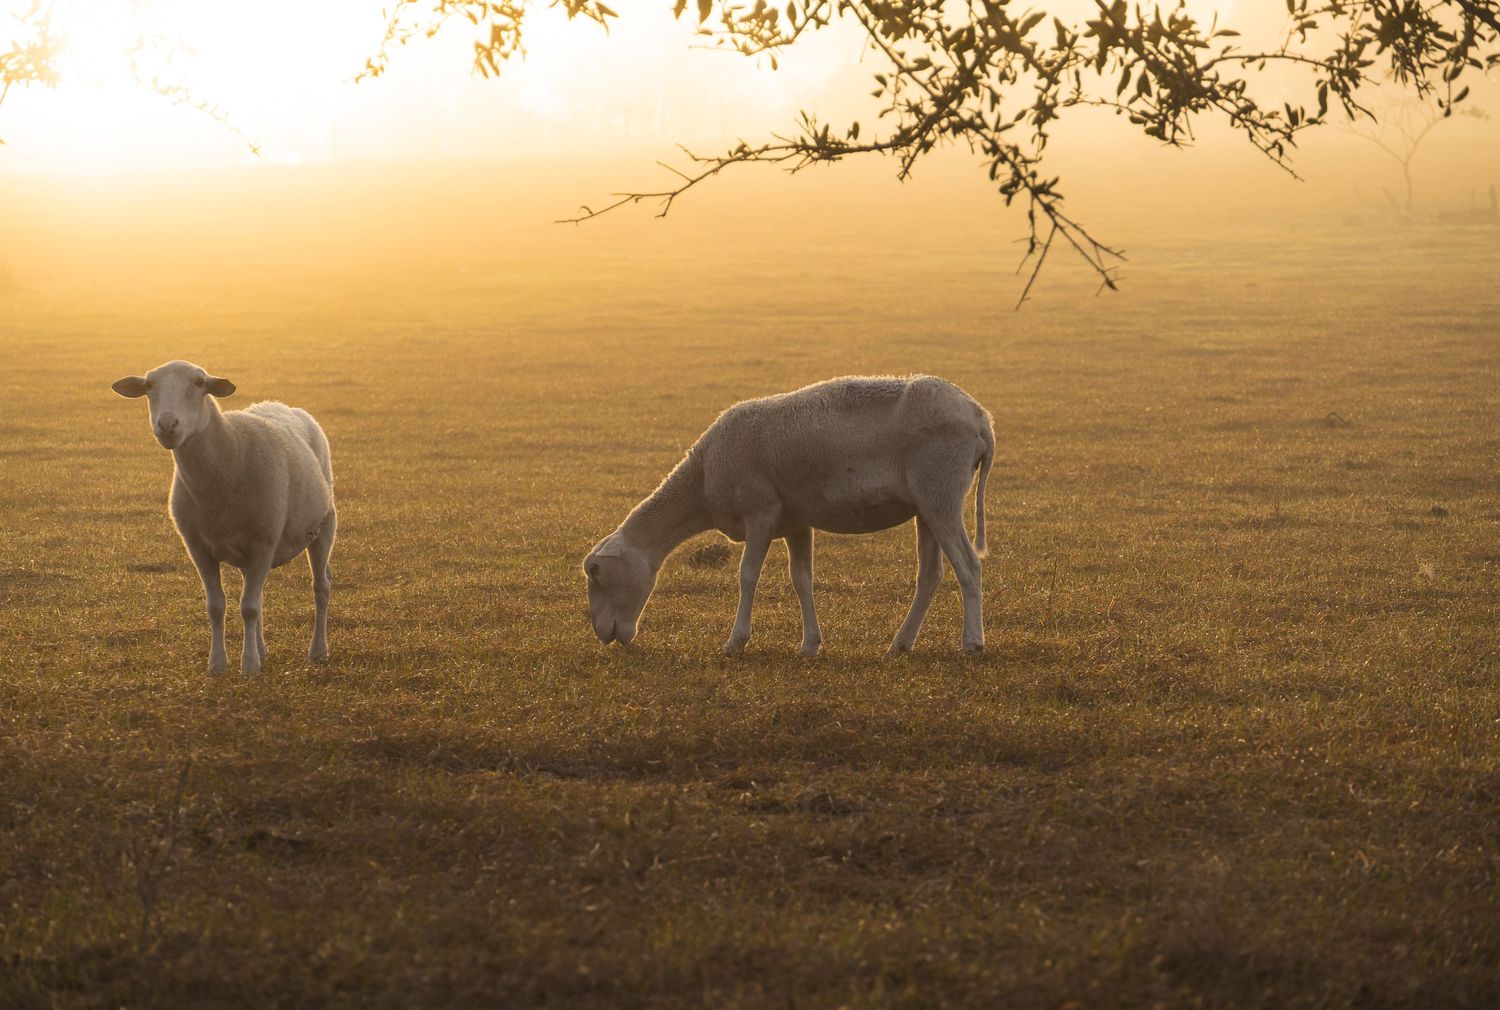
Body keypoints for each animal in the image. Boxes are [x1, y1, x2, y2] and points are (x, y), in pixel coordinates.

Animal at [111, 360, 337, 674]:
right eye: (148, 386)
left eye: (199, 383)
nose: (167, 425)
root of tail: (280, 404)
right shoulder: (197, 546)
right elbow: (217, 606)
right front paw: (218, 664)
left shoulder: (264, 540)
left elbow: (249, 608)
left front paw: (249, 666)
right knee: (259, 593)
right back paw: (263, 648)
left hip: (324, 524)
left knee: (320, 586)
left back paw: (317, 650)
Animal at [584, 375, 994, 656]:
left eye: (596, 573)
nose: (602, 634)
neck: (700, 481)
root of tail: (981, 418)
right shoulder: (796, 522)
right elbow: (802, 580)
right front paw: (810, 644)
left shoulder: (760, 510)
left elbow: (747, 575)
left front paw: (735, 641)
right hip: (926, 504)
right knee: (930, 574)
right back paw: (900, 644)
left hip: (941, 492)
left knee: (968, 565)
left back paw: (972, 642)